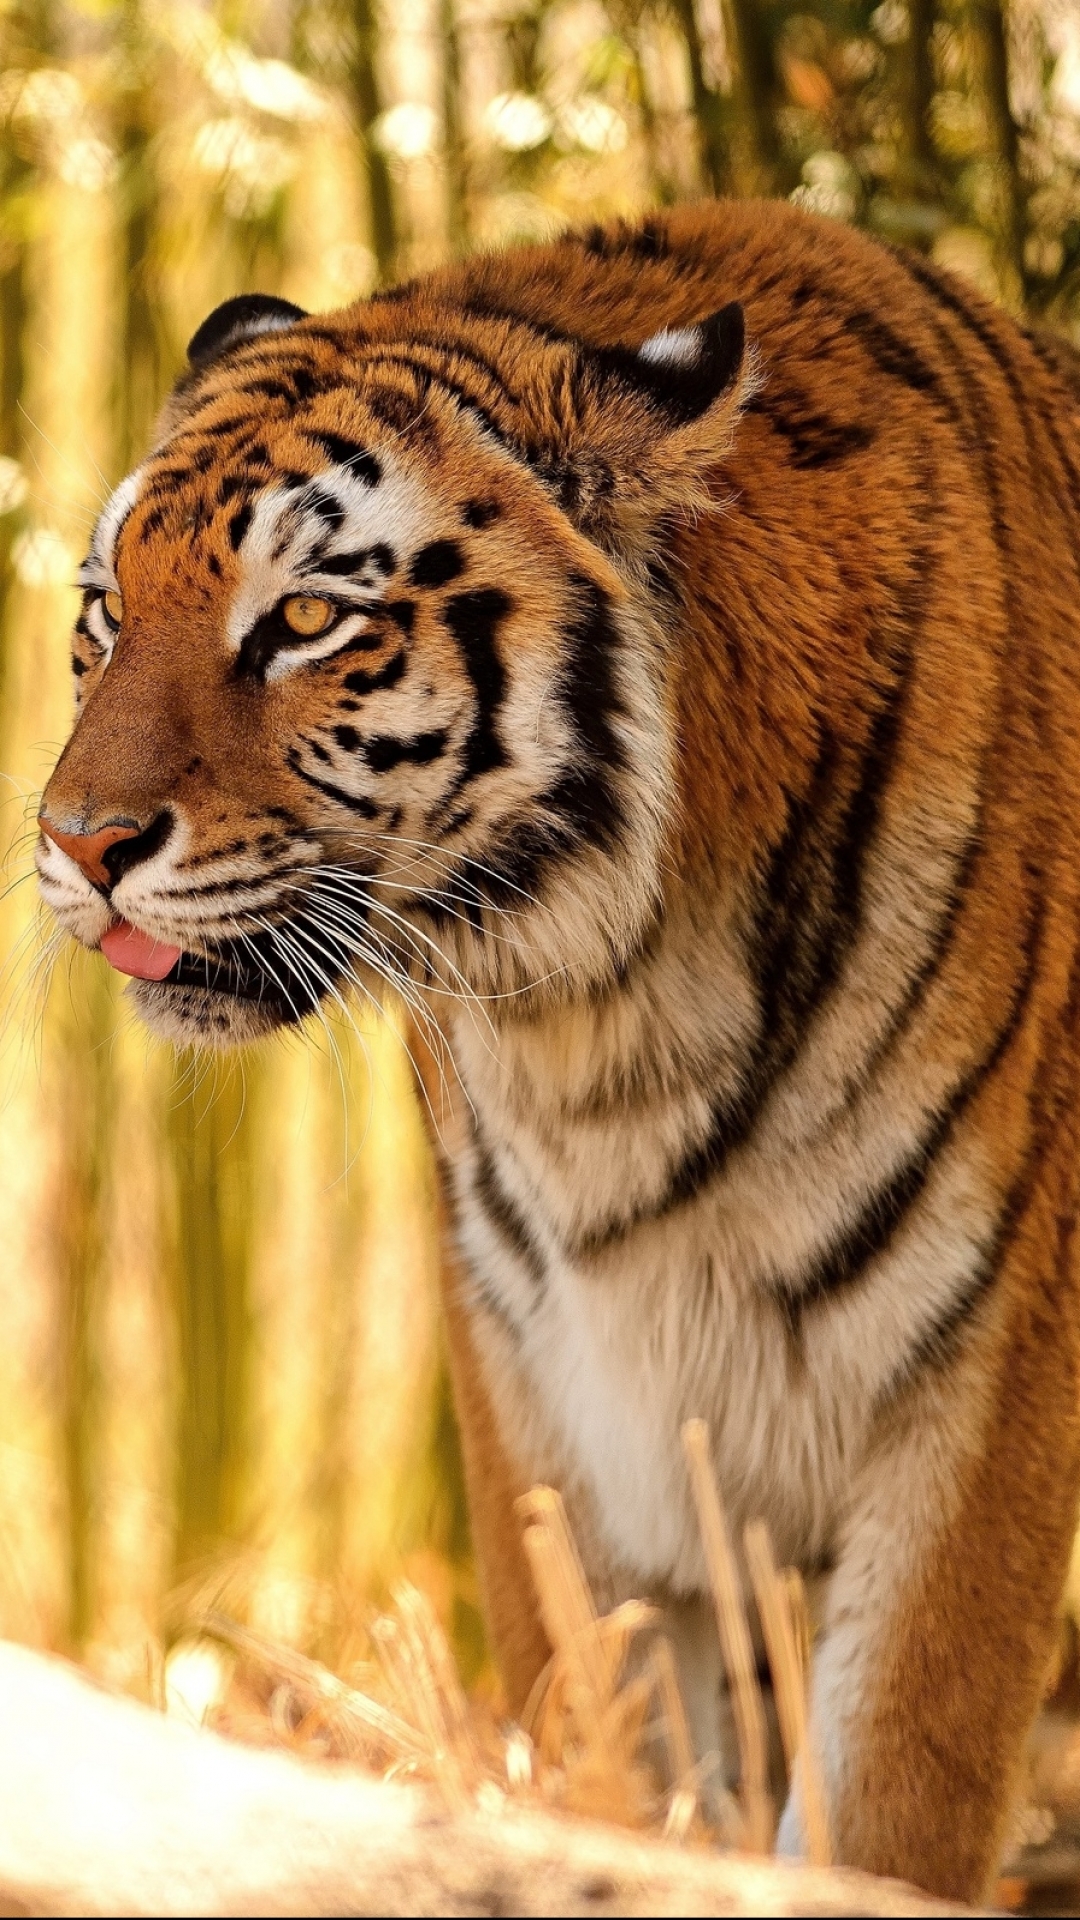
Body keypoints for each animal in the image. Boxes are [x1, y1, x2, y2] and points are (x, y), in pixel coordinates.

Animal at [33, 195, 1080, 1901]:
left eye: (306, 618)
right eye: (106, 615)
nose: (77, 842)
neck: (607, 1024)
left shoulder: (990, 1376)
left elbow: (892, 1803)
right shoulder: (548, 1379)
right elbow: (614, 1760)